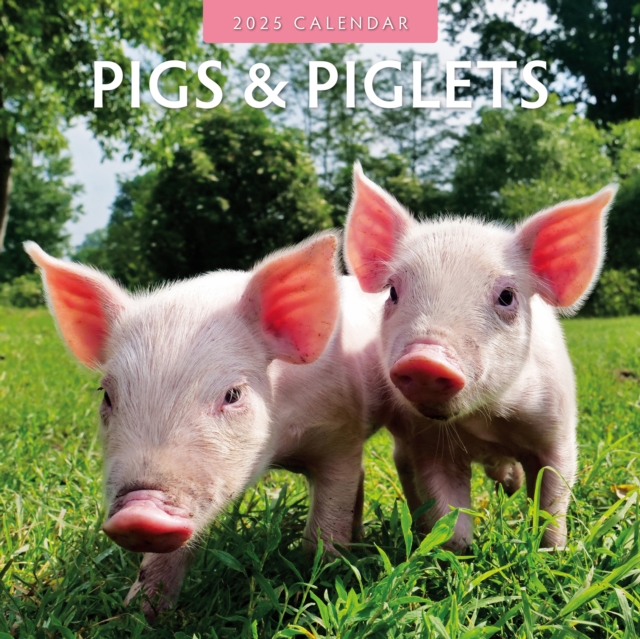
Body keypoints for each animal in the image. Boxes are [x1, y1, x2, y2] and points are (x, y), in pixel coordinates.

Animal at [25, 232, 387, 620]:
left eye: (232, 394)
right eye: (106, 395)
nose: (139, 512)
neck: (279, 449)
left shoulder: (341, 434)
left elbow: (328, 520)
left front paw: (324, 581)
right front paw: (140, 612)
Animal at [344, 164, 616, 551]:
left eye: (506, 296)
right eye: (393, 291)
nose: (425, 359)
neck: (485, 422)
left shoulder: (557, 428)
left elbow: (552, 497)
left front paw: (552, 550)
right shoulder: (427, 442)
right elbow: (448, 513)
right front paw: (457, 553)